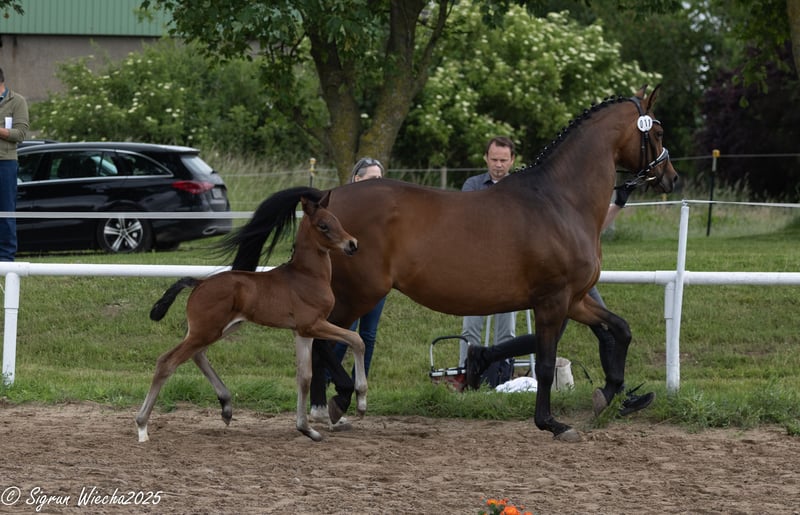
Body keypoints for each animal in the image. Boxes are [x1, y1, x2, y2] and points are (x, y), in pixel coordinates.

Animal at [135, 193, 366, 443]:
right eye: (323, 225)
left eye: (336, 220)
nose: (352, 244)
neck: (307, 276)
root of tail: (199, 283)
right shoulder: (314, 324)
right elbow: (356, 340)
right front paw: (361, 402)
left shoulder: (302, 332)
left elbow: (304, 377)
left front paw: (307, 429)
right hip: (206, 330)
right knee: (167, 362)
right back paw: (142, 426)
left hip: (220, 328)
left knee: (197, 355)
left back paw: (226, 407)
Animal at [224, 85, 678, 442]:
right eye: (657, 131)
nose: (671, 178)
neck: (559, 200)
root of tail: (324, 201)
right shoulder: (553, 301)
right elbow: (548, 365)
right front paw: (553, 423)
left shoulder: (576, 298)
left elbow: (619, 330)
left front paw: (612, 395)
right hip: (358, 293)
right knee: (324, 342)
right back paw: (339, 399)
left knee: (321, 343)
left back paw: (326, 409)